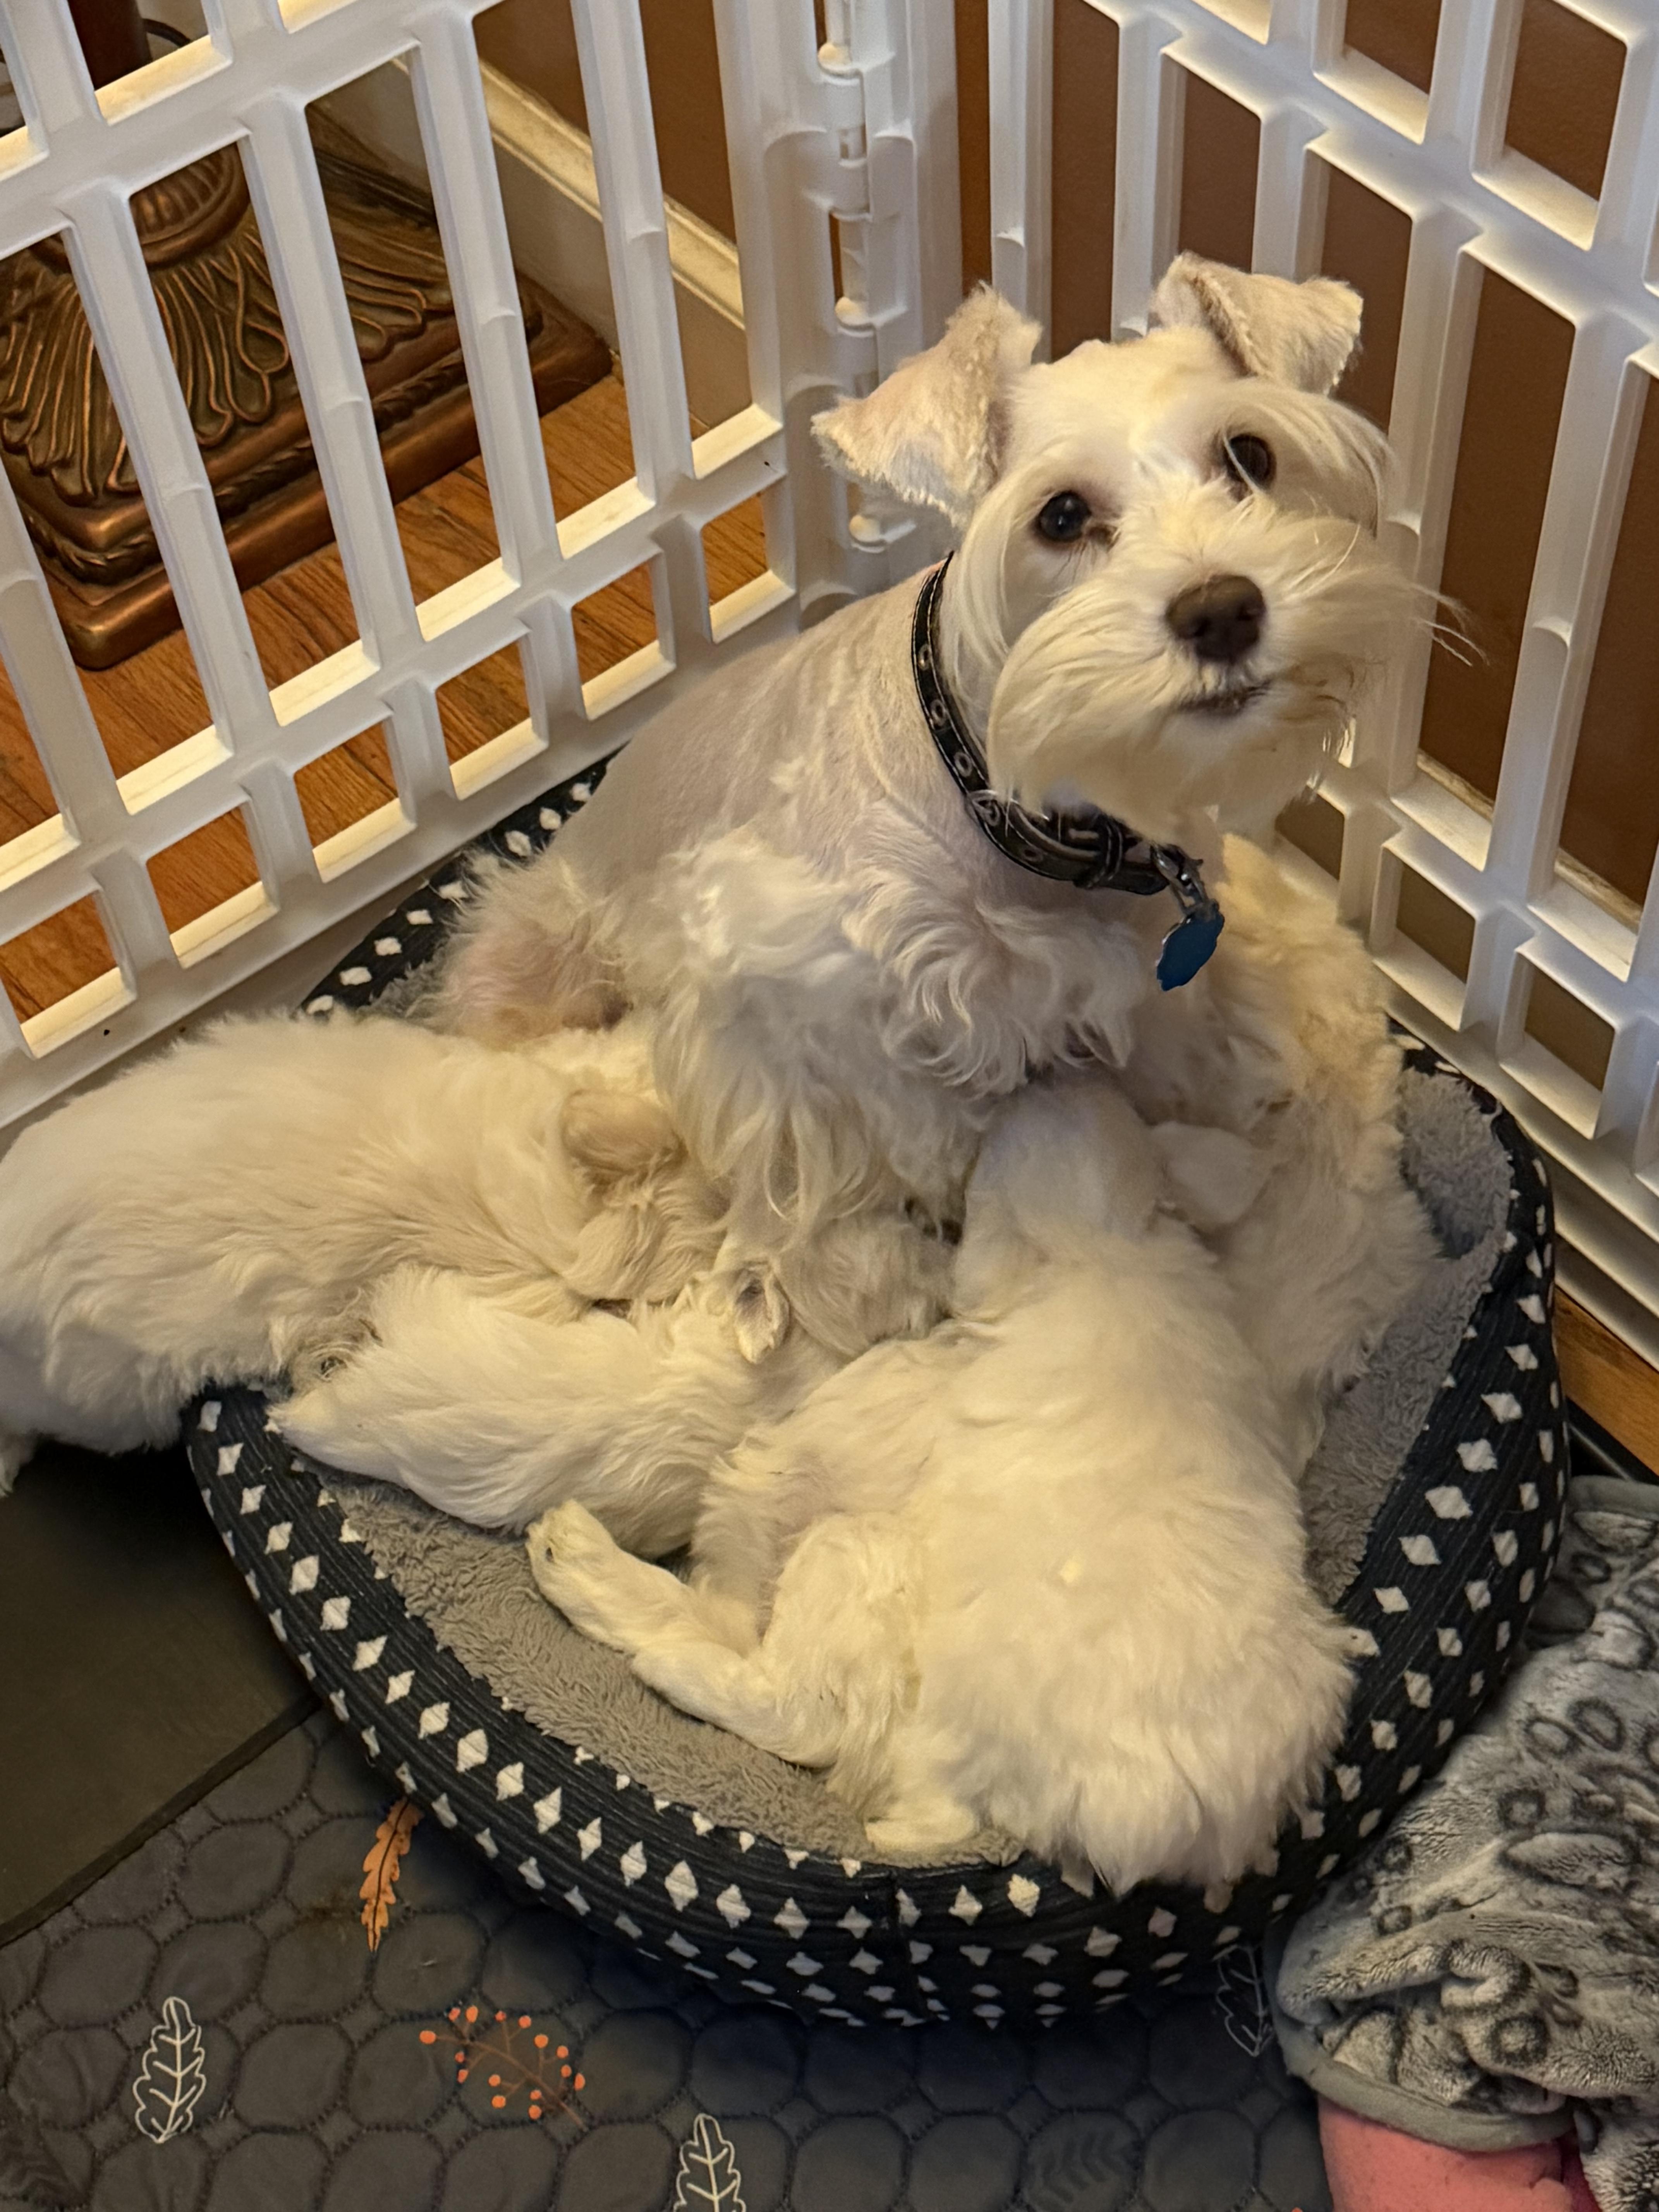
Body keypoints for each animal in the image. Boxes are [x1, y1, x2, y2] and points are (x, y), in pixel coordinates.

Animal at [432, 253, 1433, 1441]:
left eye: (1251, 455)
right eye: (1061, 514)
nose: (1225, 608)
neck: (1009, 806)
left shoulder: (1131, 993)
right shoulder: (780, 1015)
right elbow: (845, 1158)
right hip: (524, 971)